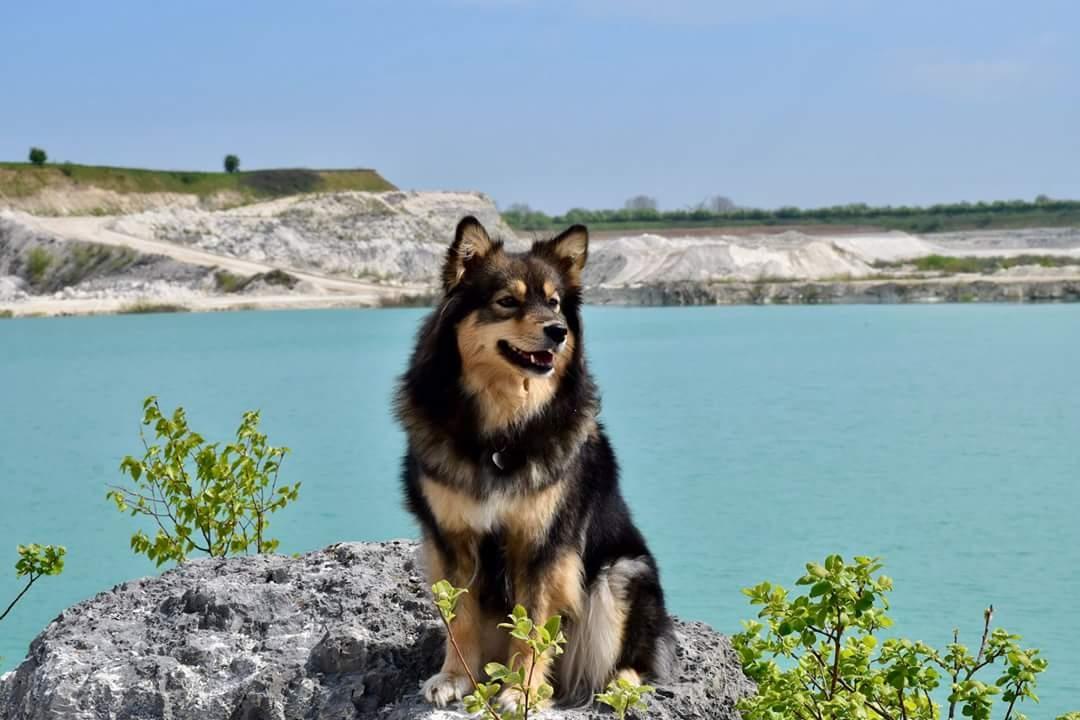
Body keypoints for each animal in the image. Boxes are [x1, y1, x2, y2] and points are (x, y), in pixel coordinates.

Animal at [397, 215, 673, 708]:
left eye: (555, 303)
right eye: (508, 301)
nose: (558, 331)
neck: (502, 429)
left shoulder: (541, 543)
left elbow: (533, 626)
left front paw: (521, 692)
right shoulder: (451, 538)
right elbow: (460, 617)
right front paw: (455, 677)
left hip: (623, 574)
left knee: (635, 658)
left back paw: (620, 686)